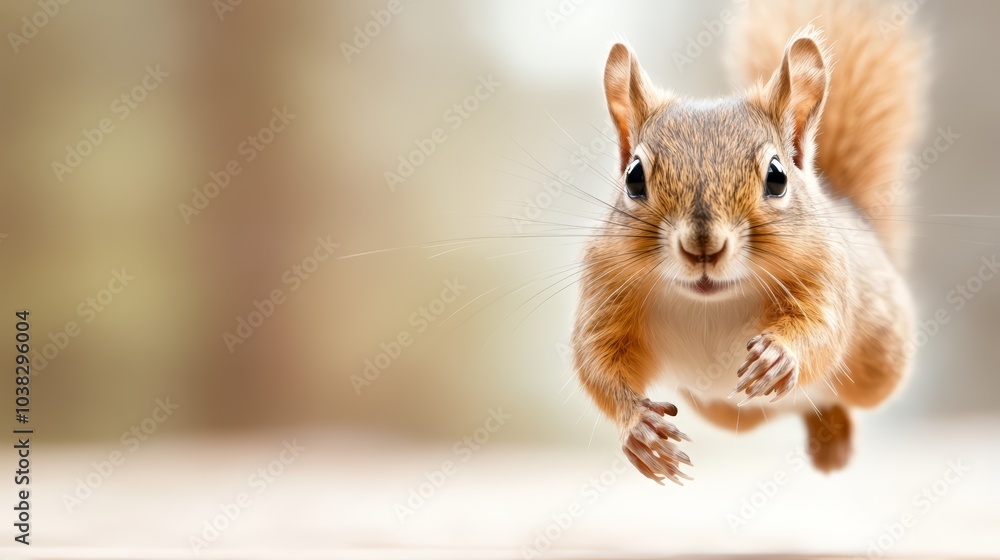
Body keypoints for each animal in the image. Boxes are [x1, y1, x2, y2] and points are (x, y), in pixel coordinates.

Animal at [572, 0, 927, 484]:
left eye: (777, 176)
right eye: (633, 177)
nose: (703, 247)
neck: (711, 303)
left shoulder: (826, 273)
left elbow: (823, 328)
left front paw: (777, 357)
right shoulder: (606, 283)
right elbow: (596, 360)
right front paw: (640, 431)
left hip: (881, 361)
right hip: (723, 410)